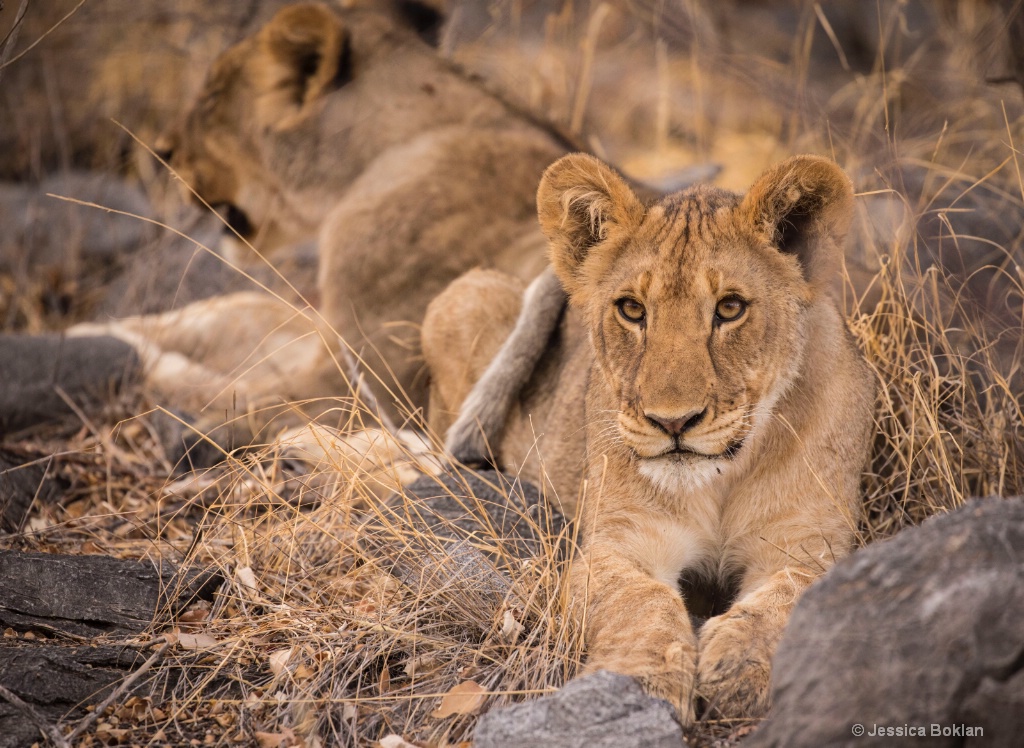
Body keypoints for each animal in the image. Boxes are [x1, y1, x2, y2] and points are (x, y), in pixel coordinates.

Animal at [419, 152, 876, 721]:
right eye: (632, 309)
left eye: (730, 308)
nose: (672, 422)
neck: (722, 479)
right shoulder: (616, 543)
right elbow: (642, 603)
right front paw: (637, 684)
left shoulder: (808, 542)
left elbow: (790, 596)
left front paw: (741, 667)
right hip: (464, 297)